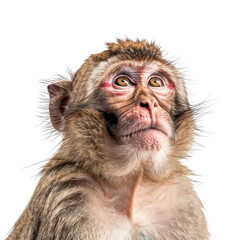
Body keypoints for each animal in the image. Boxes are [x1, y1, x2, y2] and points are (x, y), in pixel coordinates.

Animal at [5, 38, 208, 239]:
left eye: (156, 82)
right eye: (122, 82)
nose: (150, 103)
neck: (134, 186)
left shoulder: (182, 200)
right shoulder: (68, 199)